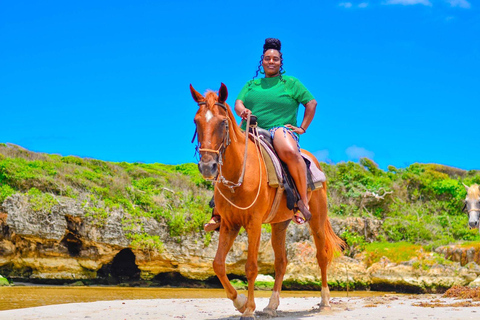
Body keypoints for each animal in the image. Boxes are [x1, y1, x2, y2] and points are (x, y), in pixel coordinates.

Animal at [189, 83, 344, 320]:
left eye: (223, 122)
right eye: (197, 121)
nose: (208, 167)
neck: (240, 172)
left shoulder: (253, 224)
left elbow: (251, 267)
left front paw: (248, 309)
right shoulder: (229, 224)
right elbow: (218, 264)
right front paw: (240, 302)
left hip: (316, 220)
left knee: (322, 255)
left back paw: (325, 301)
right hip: (279, 224)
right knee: (281, 262)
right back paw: (271, 305)